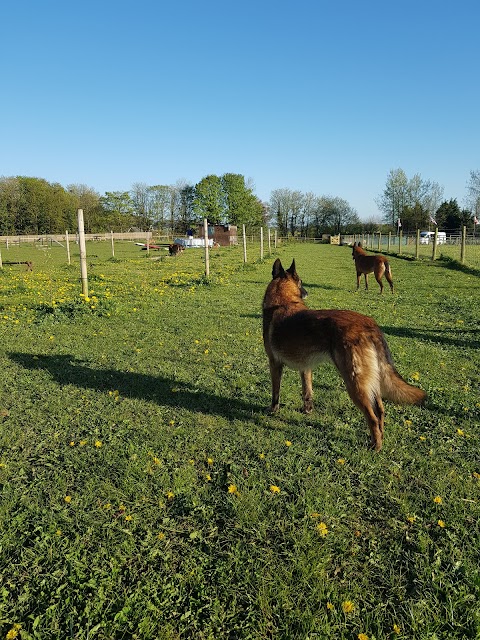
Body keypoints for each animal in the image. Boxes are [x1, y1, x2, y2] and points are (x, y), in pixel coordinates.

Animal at [264, 258, 426, 450]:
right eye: (301, 283)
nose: (307, 293)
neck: (282, 300)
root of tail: (369, 324)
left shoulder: (274, 364)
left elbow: (276, 391)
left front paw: (273, 410)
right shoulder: (306, 368)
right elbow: (307, 392)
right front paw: (307, 411)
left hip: (354, 383)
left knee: (371, 417)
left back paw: (375, 446)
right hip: (371, 381)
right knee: (380, 410)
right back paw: (381, 436)